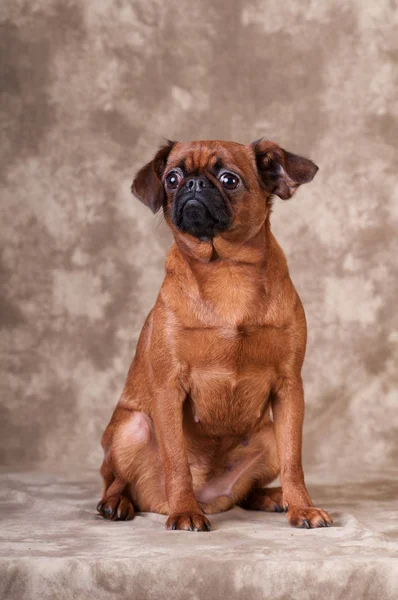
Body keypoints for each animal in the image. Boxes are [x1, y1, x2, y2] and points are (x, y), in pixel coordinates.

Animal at [97, 139, 332, 528]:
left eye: (229, 179)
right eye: (172, 178)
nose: (193, 184)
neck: (227, 271)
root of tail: (209, 497)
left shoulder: (289, 388)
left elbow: (293, 461)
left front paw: (302, 507)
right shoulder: (169, 388)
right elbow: (176, 462)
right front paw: (184, 512)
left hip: (267, 436)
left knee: (250, 489)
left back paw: (273, 498)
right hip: (132, 428)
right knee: (115, 480)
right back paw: (119, 504)